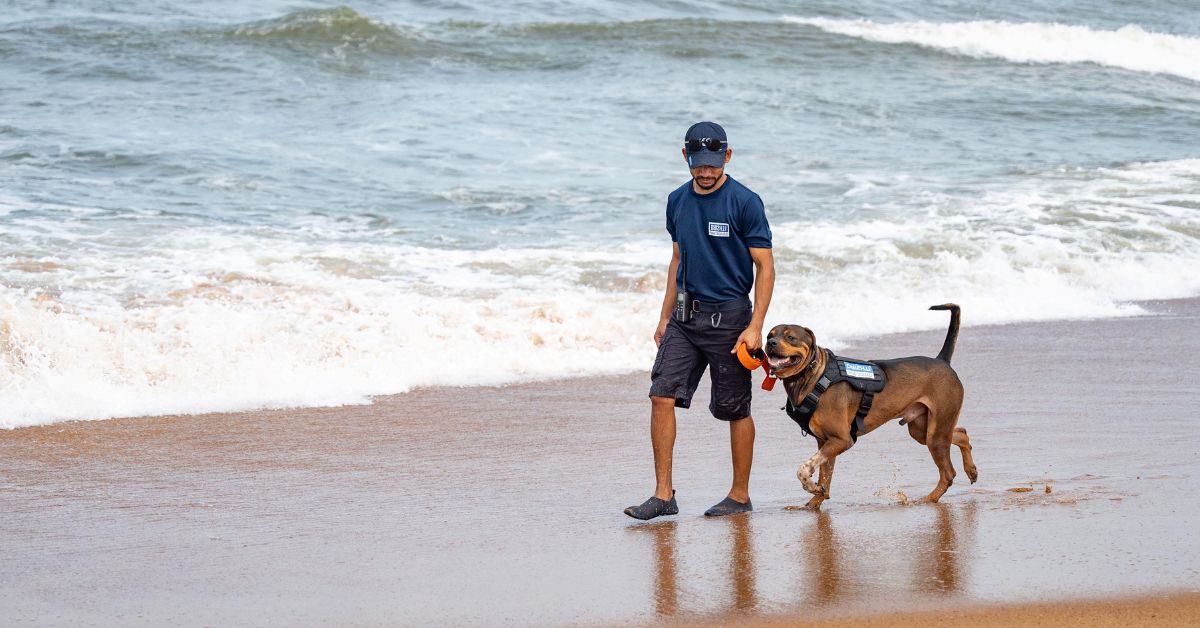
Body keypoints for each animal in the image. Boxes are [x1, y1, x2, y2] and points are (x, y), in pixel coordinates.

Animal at [763, 304, 979, 511]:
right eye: (769, 335)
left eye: (791, 337)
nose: (770, 344)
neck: (814, 377)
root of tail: (942, 360)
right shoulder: (825, 442)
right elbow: (825, 478)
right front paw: (813, 501)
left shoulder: (842, 439)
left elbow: (803, 469)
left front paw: (809, 487)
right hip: (923, 430)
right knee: (961, 434)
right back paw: (971, 470)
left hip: (936, 434)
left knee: (948, 473)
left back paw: (928, 499)